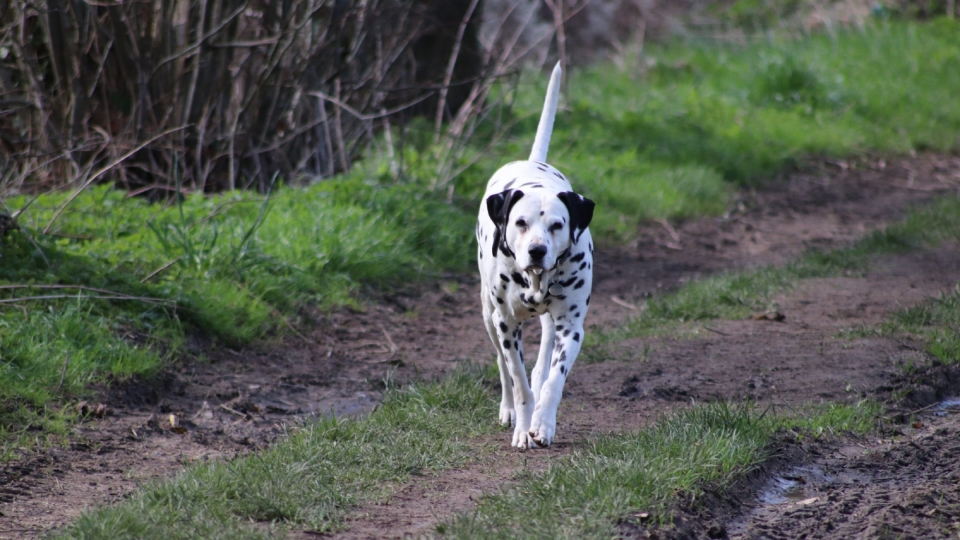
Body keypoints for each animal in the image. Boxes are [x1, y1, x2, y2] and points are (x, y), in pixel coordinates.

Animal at [476, 62, 596, 448]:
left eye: (557, 225)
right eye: (521, 222)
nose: (537, 250)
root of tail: (531, 162)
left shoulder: (571, 327)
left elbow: (554, 381)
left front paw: (542, 424)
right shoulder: (505, 323)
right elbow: (518, 380)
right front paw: (523, 425)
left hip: (550, 323)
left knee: (543, 361)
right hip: (488, 314)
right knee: (503, 367)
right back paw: (509, 410)